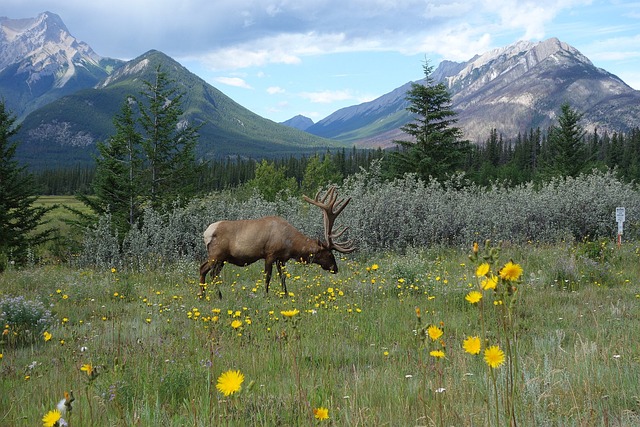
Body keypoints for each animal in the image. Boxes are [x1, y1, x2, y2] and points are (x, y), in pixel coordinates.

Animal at [198, 187, 352, 298]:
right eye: (329, 254)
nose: (335, 268)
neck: (291, 245)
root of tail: (206, 233)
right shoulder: (270, 254)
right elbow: (268, 277)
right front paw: (266, 295)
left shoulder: (282, 258)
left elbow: (282, 277)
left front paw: (285, 295)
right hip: (216, 255)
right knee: (205, 270)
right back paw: (210, 296)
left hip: (222, 259)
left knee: (211, 273)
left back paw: (208, 295)